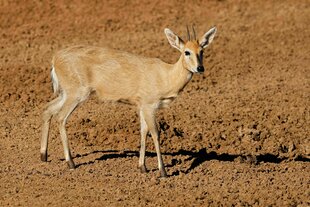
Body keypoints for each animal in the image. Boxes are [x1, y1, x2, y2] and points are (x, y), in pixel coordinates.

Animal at [40, 25, 216, 178]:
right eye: (187, 52)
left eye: (202, 51)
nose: (200, 68)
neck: (165, 76)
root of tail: (55, 59)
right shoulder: (149, 106)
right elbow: (155, 133)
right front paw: (163, 172)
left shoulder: (141, 107)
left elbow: (143, 131)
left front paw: (142, 167)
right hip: (76, 94)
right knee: (61, 118)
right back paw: (70, 162)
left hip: (66, 93)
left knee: (48, 109)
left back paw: (44, 155)